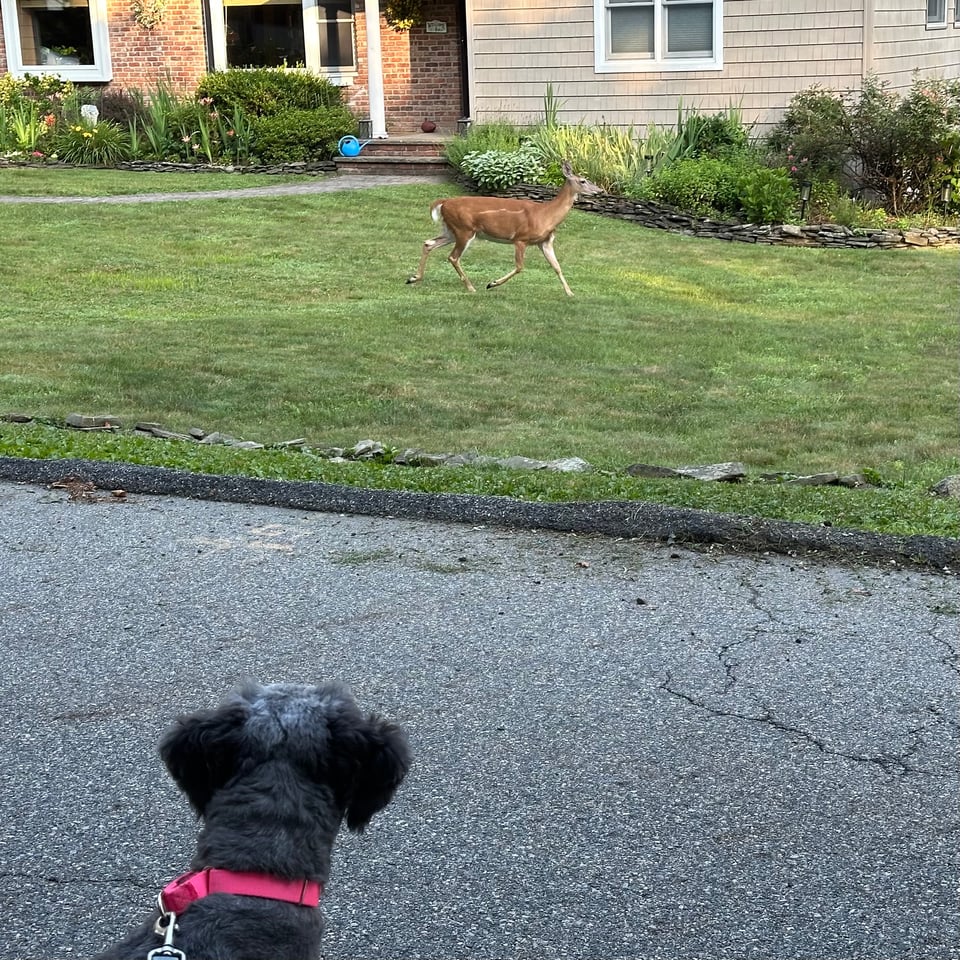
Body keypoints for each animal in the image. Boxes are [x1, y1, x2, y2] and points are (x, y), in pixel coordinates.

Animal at [406, 160, 603, 297]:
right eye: (583, 181)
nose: (600, 191)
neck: (546, 214)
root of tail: (444, 203)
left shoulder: (545, 241)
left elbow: (557, 267)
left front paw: (570, 293)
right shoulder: (521, 238)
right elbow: (520, 267)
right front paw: (492, 283)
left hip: (451, 230)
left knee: (428, 243)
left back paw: (413, 278)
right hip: (465, 230)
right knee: (453, 257)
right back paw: (471, 287)